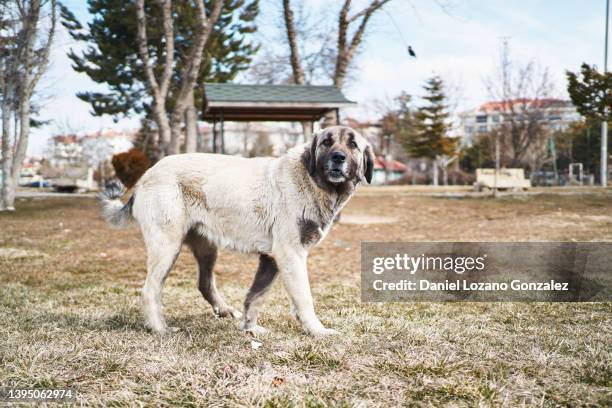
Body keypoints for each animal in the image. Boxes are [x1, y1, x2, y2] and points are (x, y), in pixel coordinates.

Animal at [100, 126, 372, 336]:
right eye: (327, 142)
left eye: (353, 145)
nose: (338, 157)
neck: (310, 179)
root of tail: (144, 177)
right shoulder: (290, 255)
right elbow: (304, 297)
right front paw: (317, 330)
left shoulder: (271, 259)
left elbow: (255, 296)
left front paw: (250, 328)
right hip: (167, 247)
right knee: (150, 290)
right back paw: (160, 329)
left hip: (206, 248)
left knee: (204, 283)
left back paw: (223, 310)